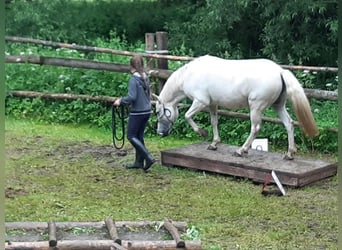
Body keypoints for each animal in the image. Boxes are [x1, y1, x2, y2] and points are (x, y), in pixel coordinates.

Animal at [152, 55, 318, 159]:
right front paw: (214, 143)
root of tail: (279, 71)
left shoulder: (201, 102)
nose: (160, 133)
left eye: (159, 112)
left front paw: (202, 133)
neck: (188, 75)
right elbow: (214, 122)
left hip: (256, 107)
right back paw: (289, 153)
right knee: (289, 124)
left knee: (255, 128)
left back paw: (241, 150)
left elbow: (187, 116)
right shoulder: (212, 104)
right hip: (278, 106)